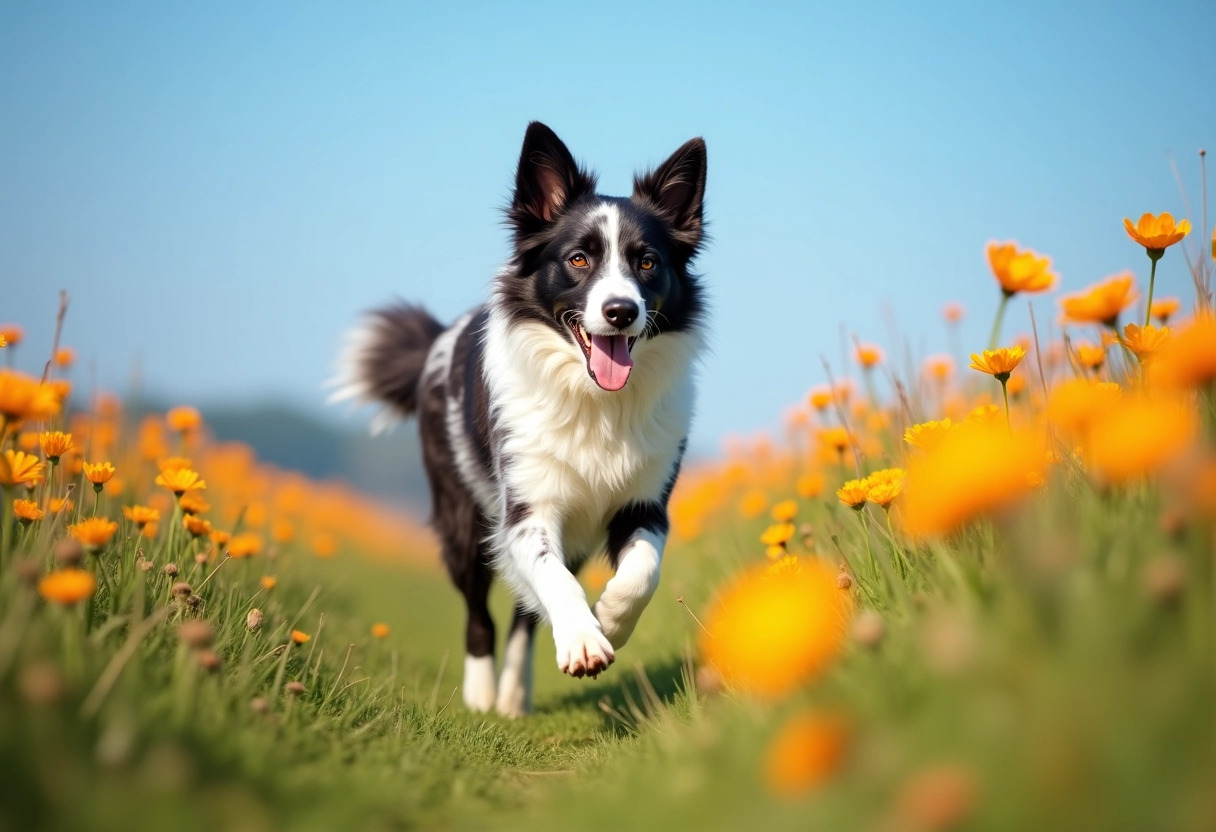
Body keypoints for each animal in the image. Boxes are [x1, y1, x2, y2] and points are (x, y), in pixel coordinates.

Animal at [333, 121, 710, 715]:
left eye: (647, 262)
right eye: (578, 260)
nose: (621, 311)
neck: (593, 399)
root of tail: (437, 338)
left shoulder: (644, 503)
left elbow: (641, 574)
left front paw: (608, 621)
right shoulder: (527, 507)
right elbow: (550, 577)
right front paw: (584, 640)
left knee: (523, 615)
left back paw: (514, 691)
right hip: (463, 522)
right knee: (480, 614)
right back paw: (482, 694)